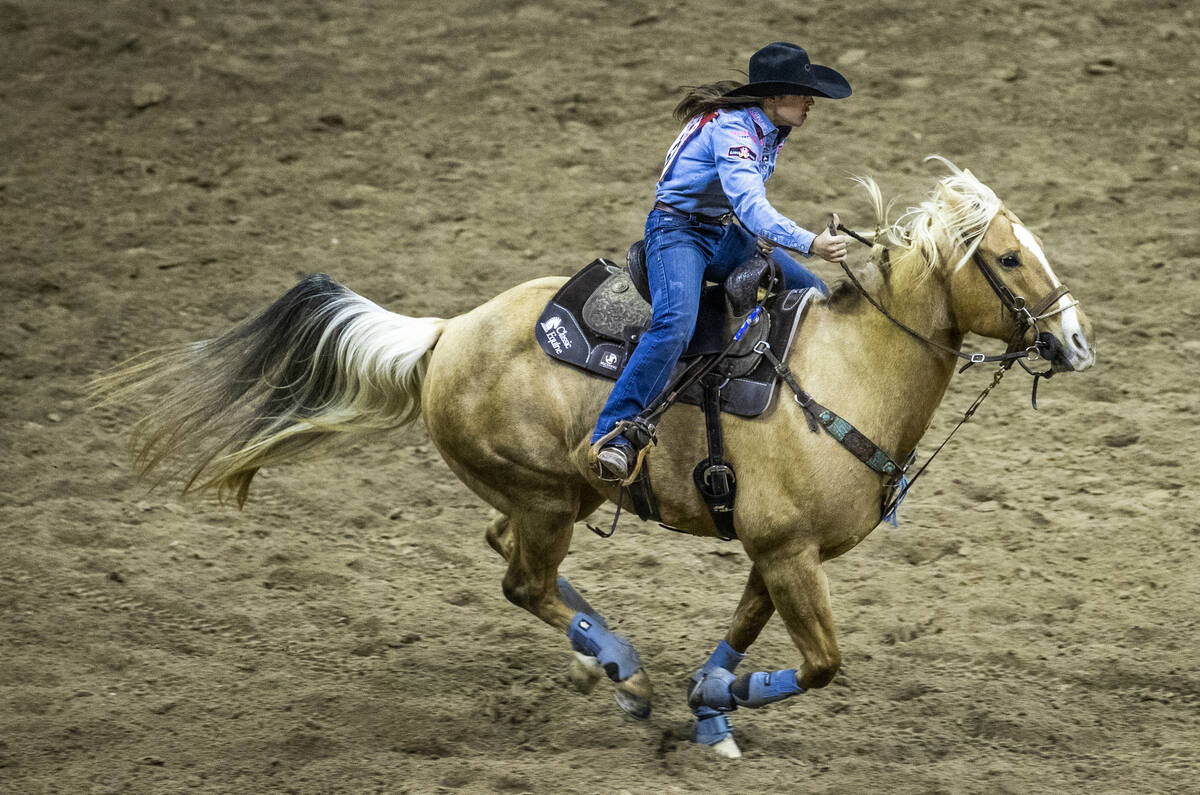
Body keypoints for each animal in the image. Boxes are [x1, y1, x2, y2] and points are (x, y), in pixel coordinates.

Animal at [96, 160, 1099, 758]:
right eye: (1009, 257)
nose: (1077, 340)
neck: (844, 372)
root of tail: (446, 333)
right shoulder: (786, 551)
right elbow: (821, 662)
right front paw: (705, 696)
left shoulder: (776, 552)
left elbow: (748, 634)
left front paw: (712, 701)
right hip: (548, 498)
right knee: (521, 579)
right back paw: (621, 668)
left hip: (557, 495)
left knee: (503, 549)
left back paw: (601, 668)